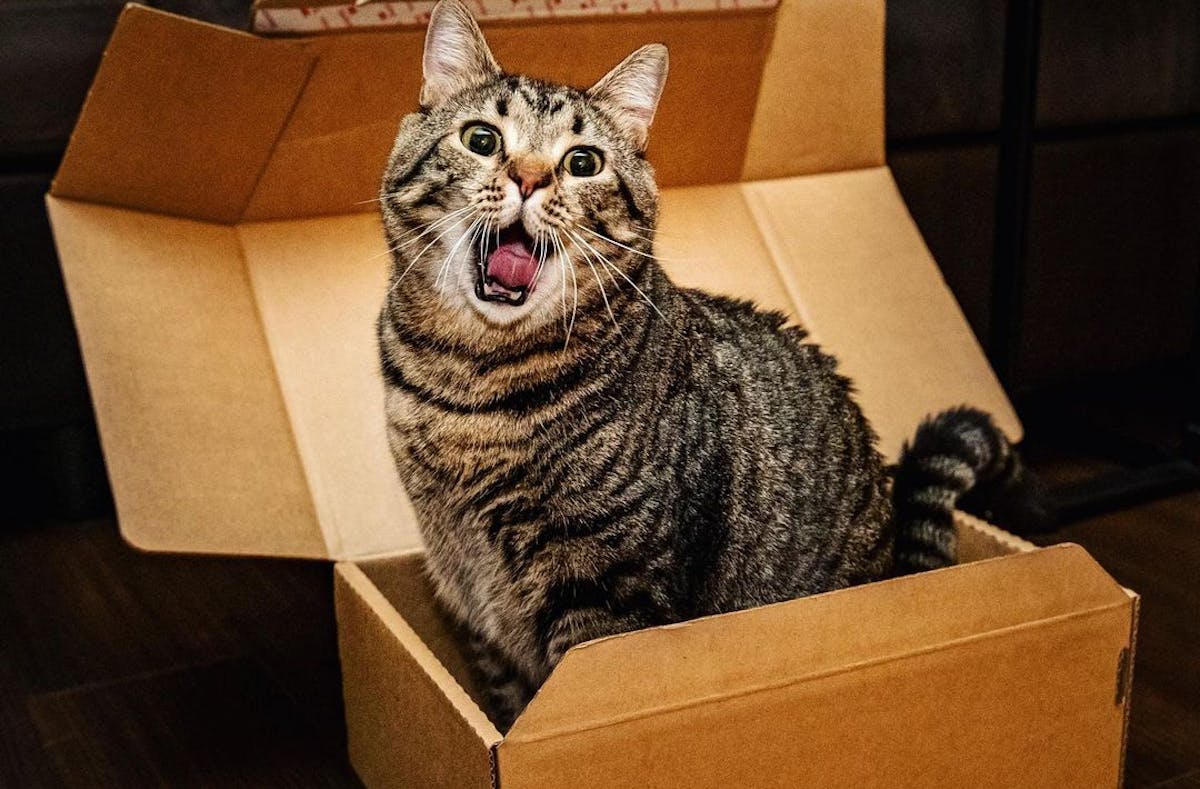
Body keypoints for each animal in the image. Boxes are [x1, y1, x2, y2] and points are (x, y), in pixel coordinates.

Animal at [376, 0, 1041, 729]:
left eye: (582, 161)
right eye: (482, 139)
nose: (527, 178)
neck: (468, 382)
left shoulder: (605, 592)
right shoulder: (472, 599)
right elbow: (510, 704)